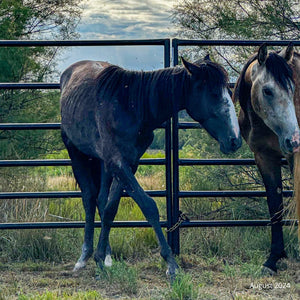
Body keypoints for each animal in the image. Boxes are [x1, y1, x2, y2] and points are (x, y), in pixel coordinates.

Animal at [60, 55, 241, 278]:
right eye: (214, 94)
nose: (235, 140)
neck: (131, 106)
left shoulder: (128, 163)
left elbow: (111, 209)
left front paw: (101, 258)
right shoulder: (118, 162)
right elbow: (149, 206)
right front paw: (171, 263)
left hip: (103, 163)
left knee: (101, 199)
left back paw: (107, 256)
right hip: (75, 151)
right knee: (88, 197)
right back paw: (83, 258)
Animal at [234, 43, 300, 276]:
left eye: (292, 88)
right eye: (268, 90)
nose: (294, 139)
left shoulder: (294, 157)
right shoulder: (264, 157)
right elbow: (275, 204)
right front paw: (273, 258)